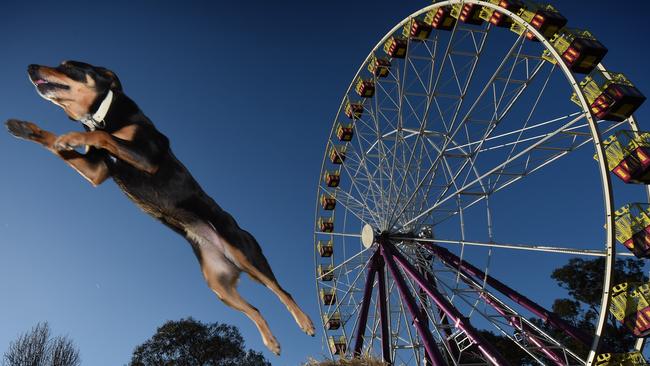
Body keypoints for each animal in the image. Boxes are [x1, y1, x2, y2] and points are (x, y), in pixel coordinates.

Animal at [5, 61, 314, 356]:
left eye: (69, 66)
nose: (31, 68)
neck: (101, 116)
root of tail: (228, 254)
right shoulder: (97, 171)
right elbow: (57, 143)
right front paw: (26, 129)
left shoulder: (146, 155)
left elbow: (104, 137)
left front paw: (71, 136)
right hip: (219, 286)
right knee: (255, 309)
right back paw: (271, 341)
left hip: (244, 252)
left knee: (281, 290)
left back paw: (305, 321)